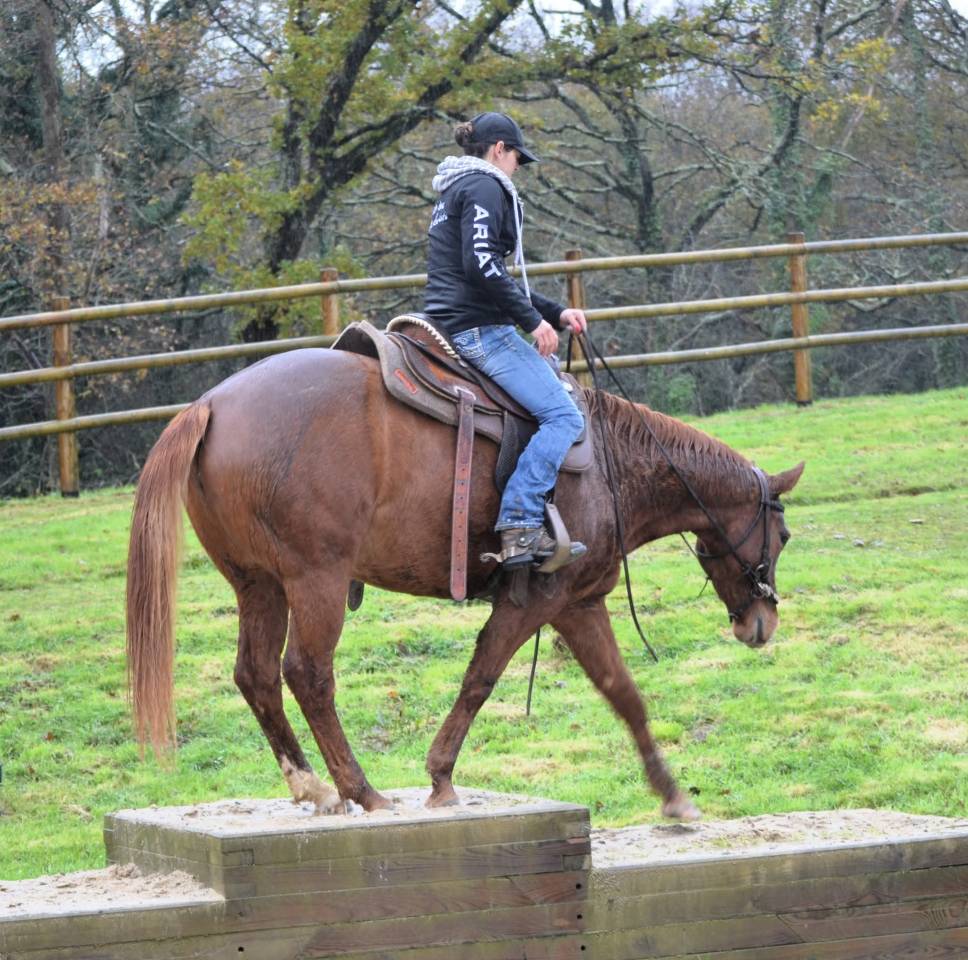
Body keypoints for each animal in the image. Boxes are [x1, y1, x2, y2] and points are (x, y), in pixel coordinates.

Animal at [126, 344, 803, 821]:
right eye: (784, 535)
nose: (761, 621)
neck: (613, 464)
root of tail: (211, 404)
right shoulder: (536, 602)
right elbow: (481, 678)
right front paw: (440, 777)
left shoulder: (580, 603)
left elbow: (624, 695)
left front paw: (672, 794)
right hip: (317, 581)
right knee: (307, 674)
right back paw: (362, 790)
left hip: (258, 585)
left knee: (256, 675)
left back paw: (311, 785)